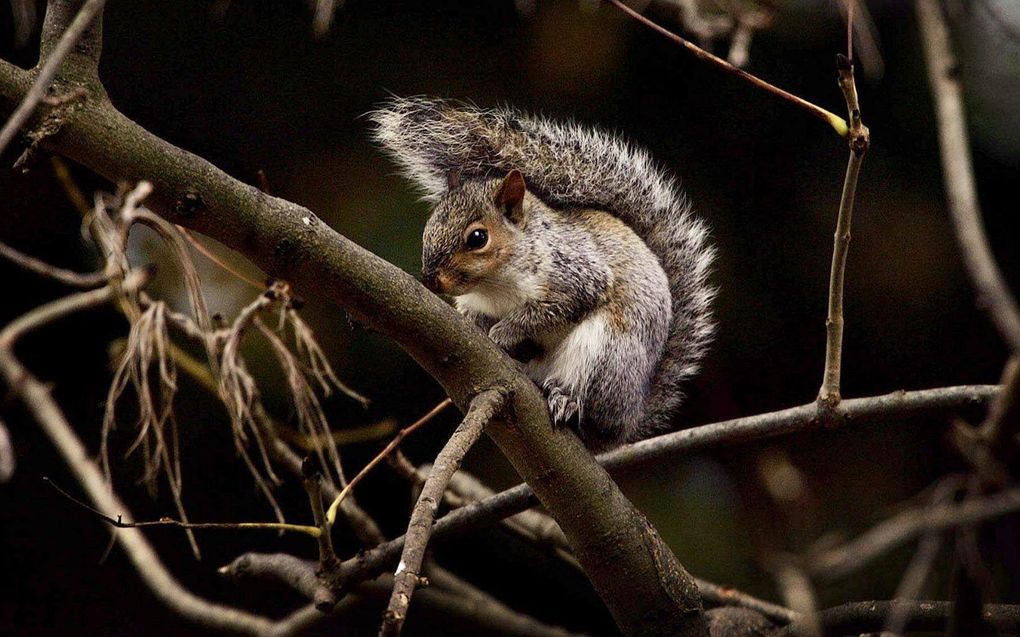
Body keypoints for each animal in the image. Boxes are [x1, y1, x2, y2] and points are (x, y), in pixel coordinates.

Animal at [371, 96, 714, 450]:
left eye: (478, 238)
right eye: (431, 223)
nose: (430, 279)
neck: (494, 286)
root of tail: (625, 424)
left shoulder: (577, 273)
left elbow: (546, 309)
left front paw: (504, 332)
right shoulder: (474, 301)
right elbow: (476, 314)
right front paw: (481, 326)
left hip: (606, 354)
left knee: (589, 406)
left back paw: (567, 401)